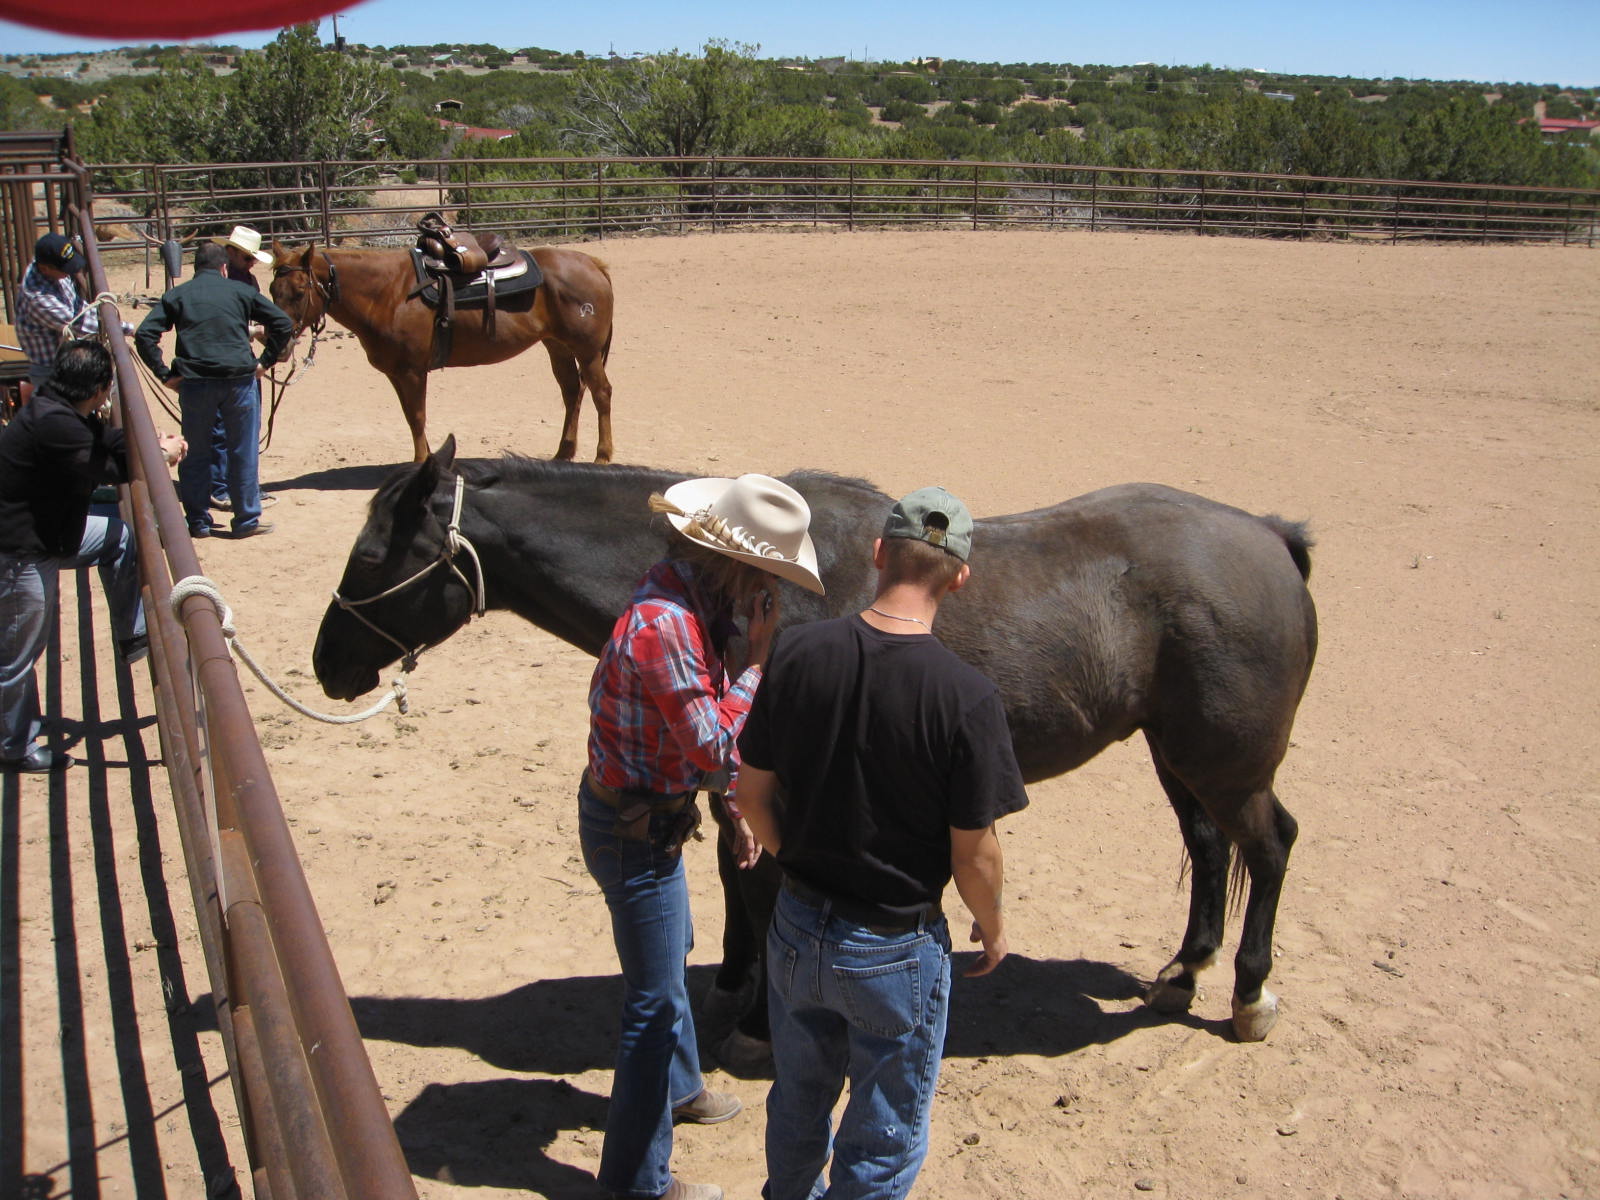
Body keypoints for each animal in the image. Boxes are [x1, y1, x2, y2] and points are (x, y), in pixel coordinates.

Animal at [268, 242, 615, 465]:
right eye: (272, 290)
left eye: (298, 292)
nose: (279, 345)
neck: (390, 293)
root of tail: (594, 264)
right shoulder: (397, 373)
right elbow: (410, 416)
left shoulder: (412, 371)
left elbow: (417, 416)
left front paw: (422, 462)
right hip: (557, 345)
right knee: (572, 391)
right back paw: (563, 454)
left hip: (587, 351)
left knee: (600, 393)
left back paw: (602, 455)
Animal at [313, 440, 1317, 1045]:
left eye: (370, 556)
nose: (326, 663)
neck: (753, 580)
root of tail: (1269, 537)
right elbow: (735, 880)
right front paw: (730, 988)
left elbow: (762, 890)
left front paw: (759, 1020)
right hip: (1179, 758)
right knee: (1210, 848)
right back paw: (1184, 972)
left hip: (1225, 766)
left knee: (1269, 847)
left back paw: (1249, 995)